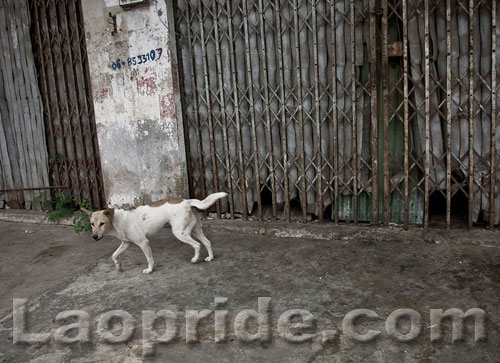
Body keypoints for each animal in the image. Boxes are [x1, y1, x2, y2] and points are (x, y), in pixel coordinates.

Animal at [83, 193, 228, 272]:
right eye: (92, 224)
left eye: (102, 223)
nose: (94, 237)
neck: (116, 220)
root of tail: (186, 201)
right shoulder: (126, 243)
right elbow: (114, 255)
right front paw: (118, 266)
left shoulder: (143, 243)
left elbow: (150, 258)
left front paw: (150, 270)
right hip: (195, 229)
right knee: (207, 242)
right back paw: (210, 258)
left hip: (180, 233)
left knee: (197, 245)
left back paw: (195, 259)